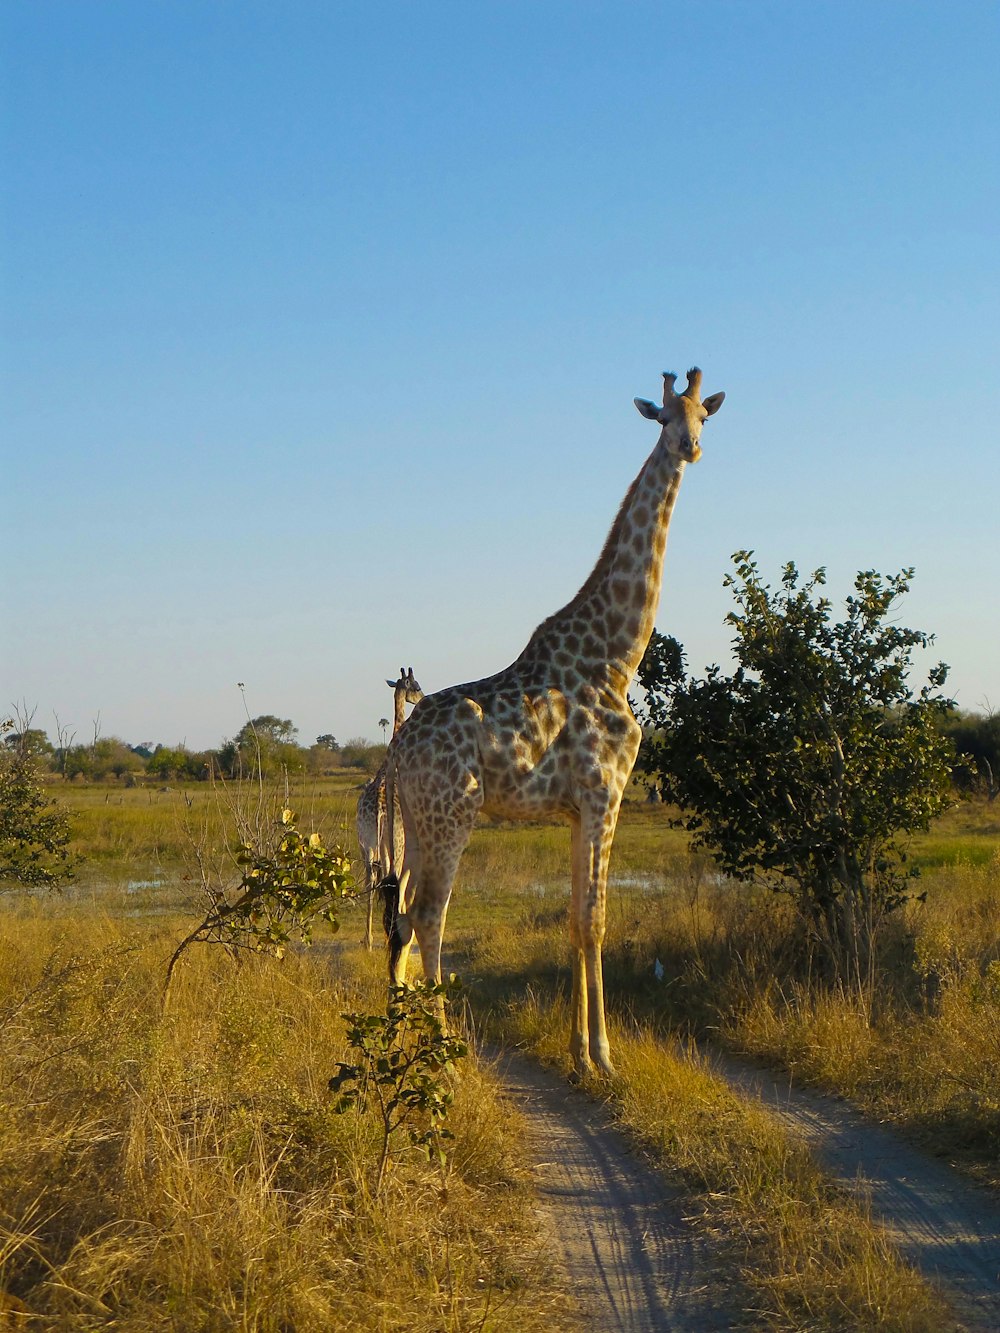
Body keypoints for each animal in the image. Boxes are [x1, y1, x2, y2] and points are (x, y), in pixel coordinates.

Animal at [378, 370, 725, 1077]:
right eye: (663, 417)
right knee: (428, 915)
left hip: (418, 821)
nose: (691, 447)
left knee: (400, 916)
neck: (618, 654)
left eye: (703, 414)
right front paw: (605, 1056)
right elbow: (596, 920)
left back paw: (402, 1044)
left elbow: (573, 919)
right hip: (453, 814)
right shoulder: (605, 794)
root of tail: (398, 751)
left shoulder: (573, 810)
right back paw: (442, 1056)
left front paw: (577, 1051)